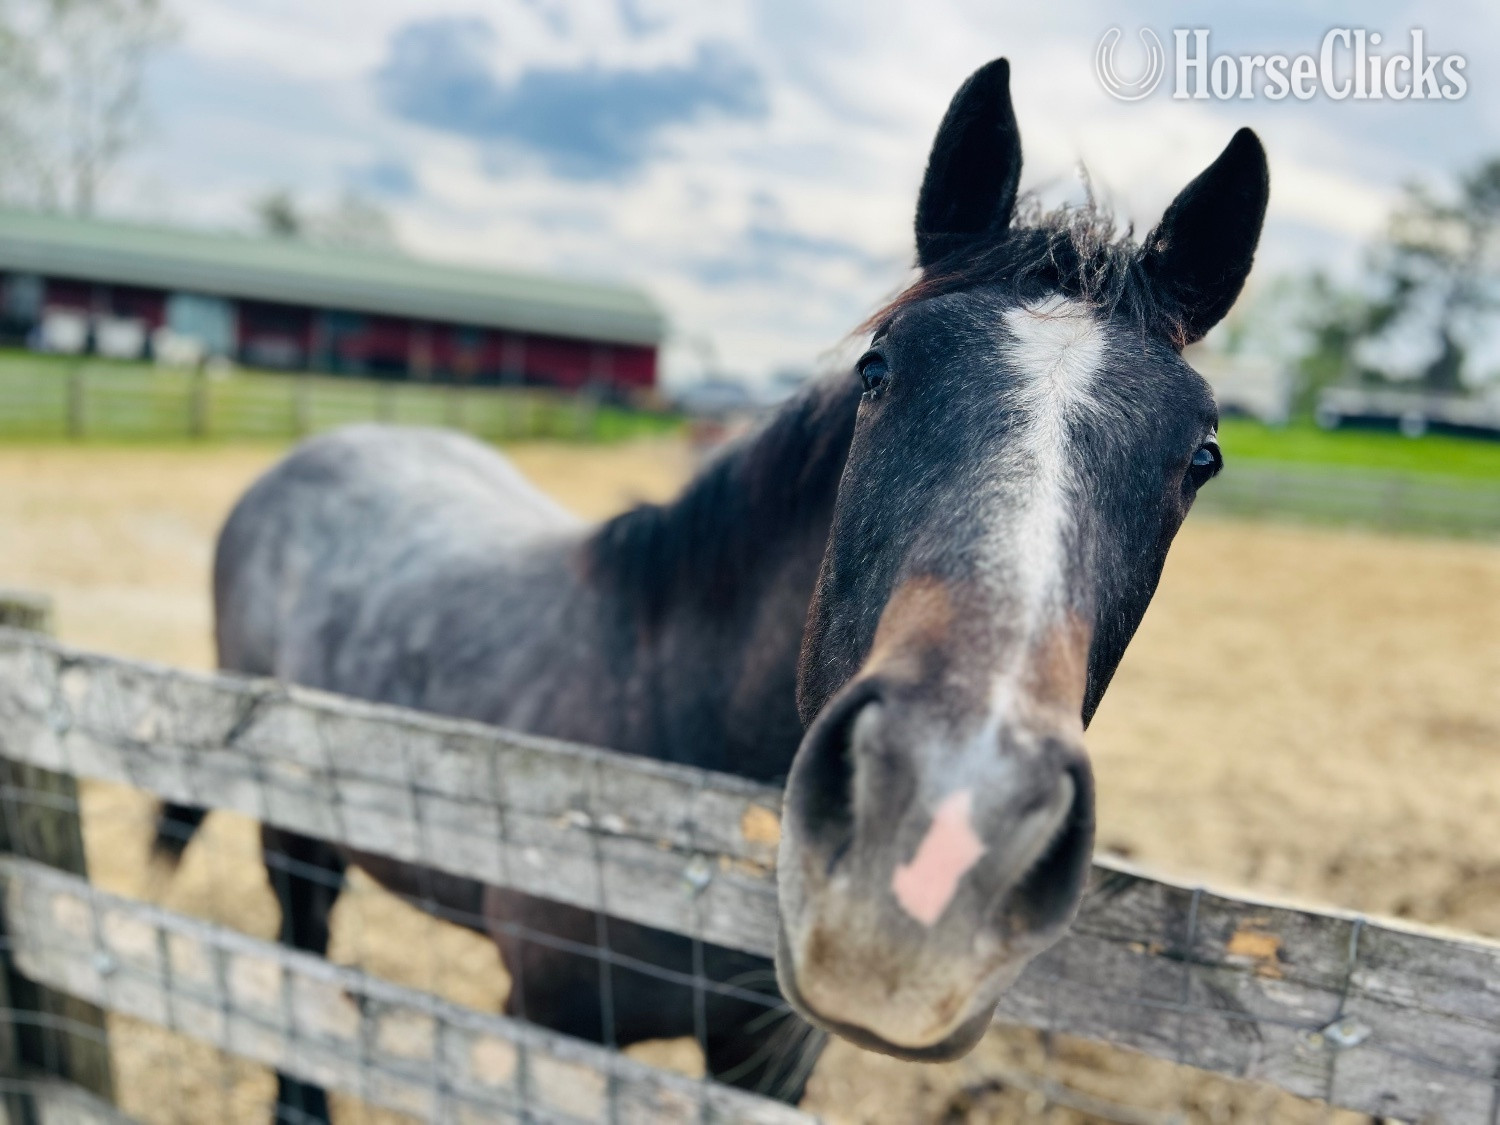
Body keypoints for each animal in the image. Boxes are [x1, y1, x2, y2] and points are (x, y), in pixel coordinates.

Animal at [154, 56, 1267, 1121]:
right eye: (877, 370)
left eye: (1201, 457)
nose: (942, 838)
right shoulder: (550, 1023)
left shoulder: (769, 1059)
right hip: (295, 835)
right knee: (299, 957)